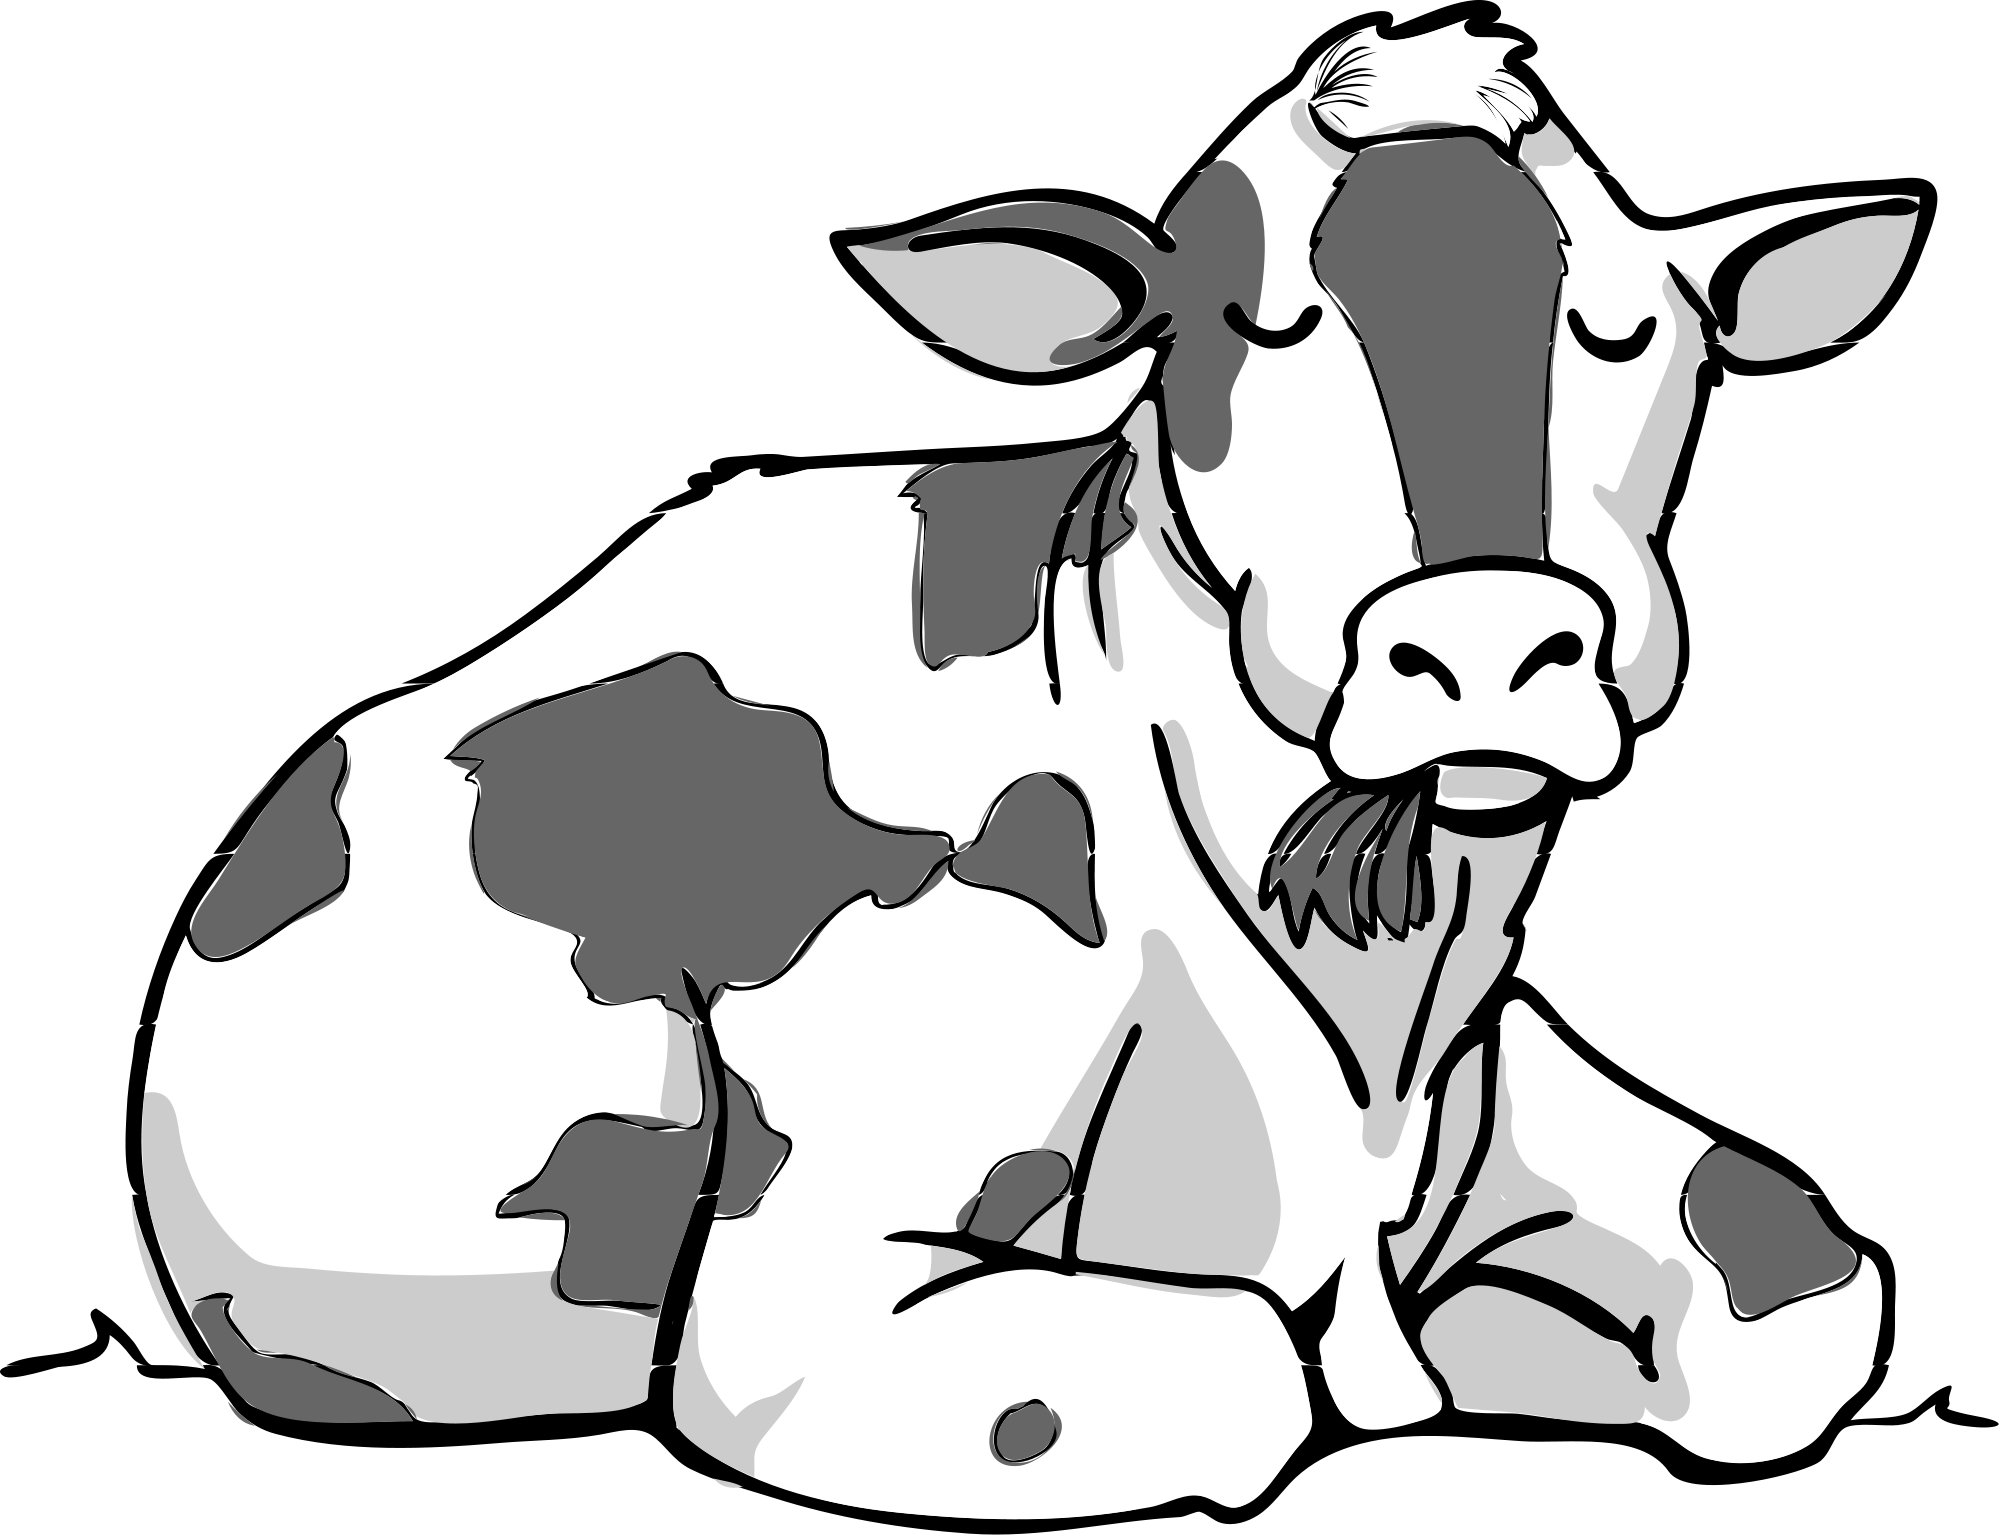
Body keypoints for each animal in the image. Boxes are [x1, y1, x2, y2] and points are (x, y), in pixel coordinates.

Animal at [135, 22, 1917, 1517]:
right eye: (1251, 323)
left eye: (1627, 324)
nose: (1485, 642)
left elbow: (1808, 1297)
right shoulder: (809, 1312)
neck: (1385, 986)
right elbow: (1259, 1371)